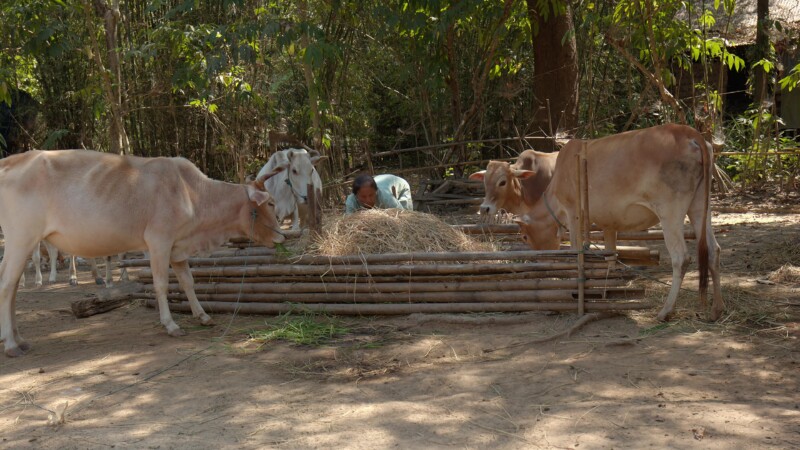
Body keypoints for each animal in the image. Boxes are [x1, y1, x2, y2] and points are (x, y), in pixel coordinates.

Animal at [0, 149, 285, 357]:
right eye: (270, 203)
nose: (281, 237)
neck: (191, 193)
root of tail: (9, 161)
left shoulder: (178, 248)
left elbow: (188, 282)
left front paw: (202, 315)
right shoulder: (159, 241)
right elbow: (161, 284)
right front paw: (171, 324)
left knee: (12, 288)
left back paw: (18, 339)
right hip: (21, 239)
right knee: (7, 286)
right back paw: (12, 345)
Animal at [514, 124, 723, 321]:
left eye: (524, 236)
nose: (539, 261)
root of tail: (687, 132)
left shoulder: (573, 213)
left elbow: (575, 250)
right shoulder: (610, 223)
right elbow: (611, 256)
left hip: (669, 210)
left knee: (681, 257)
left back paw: (665, 311)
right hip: (700, 205)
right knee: (713, 250)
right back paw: (715, 310)